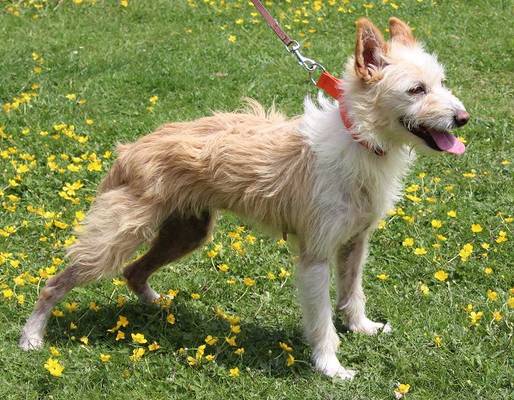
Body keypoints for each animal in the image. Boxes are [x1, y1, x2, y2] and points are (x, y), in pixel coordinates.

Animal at [20, 17, 469, 380]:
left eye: (442, 83)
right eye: (416, 89)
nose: (463, 118)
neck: (359, 139)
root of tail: (129, 149)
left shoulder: (355, 242)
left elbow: (352, 293)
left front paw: (361, 327)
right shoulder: (315, 256)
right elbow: (322, 319)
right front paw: (330, 367)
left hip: (187, 232)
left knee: (133, 272)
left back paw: (157, 305)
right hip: (117, 236)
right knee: (56, 283)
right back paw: (32, 336)